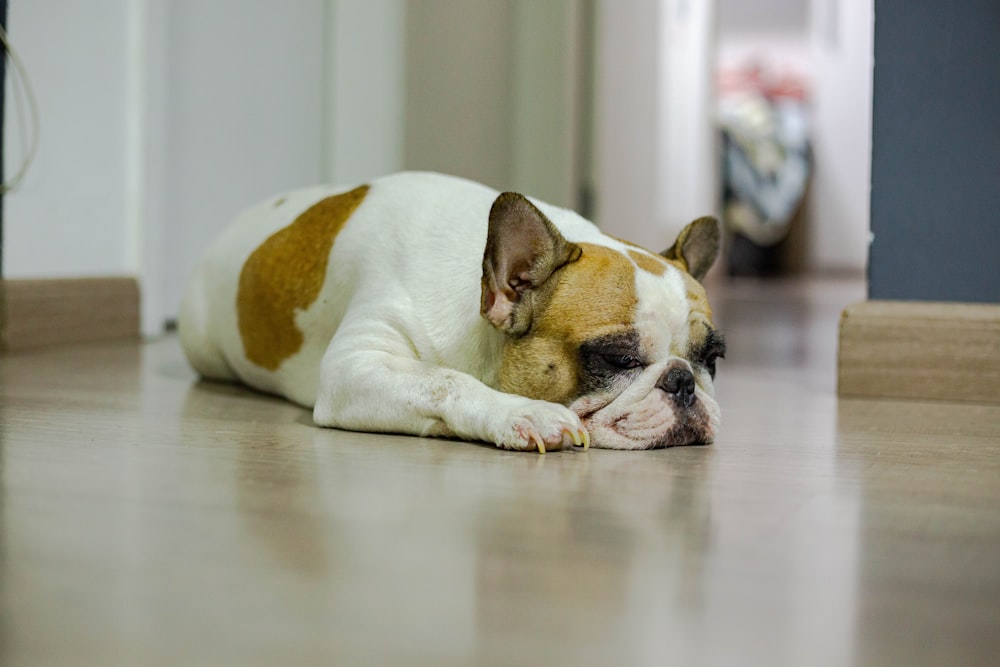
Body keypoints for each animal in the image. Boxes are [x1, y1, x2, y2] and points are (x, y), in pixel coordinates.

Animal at [180, 172, 724, 454]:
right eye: (616, 359)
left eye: (713, 359)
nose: (683, 382)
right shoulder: (354, 365)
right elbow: (444, 380)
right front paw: (521, 412)